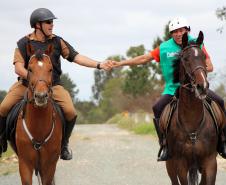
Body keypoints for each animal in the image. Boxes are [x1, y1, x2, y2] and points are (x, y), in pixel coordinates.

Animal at [163, 31, 225, 184]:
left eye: (203, 57)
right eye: (185, 59)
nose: (202, 86)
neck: (192, 122)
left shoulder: (210, 163)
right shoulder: (181, 165)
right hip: (170, 164)